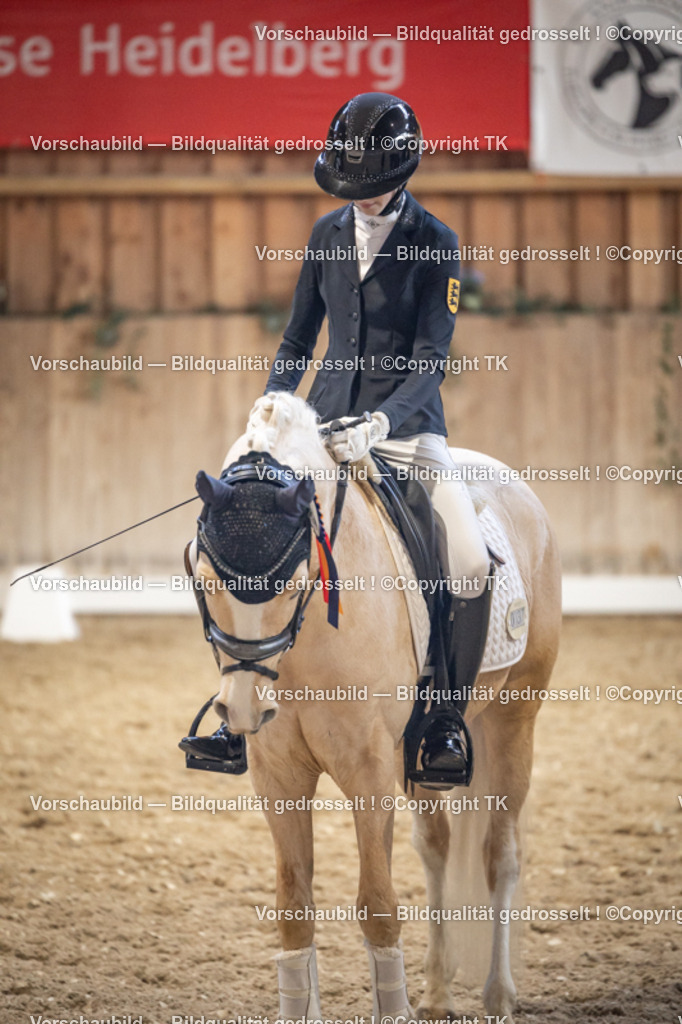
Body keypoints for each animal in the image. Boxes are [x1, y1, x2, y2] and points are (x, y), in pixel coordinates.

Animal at [189, 390, 562, 1022]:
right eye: (207, 577)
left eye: (293, 580)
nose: (242, 711)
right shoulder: (278, 774)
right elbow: (294, 909)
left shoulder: (368, 770)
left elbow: (379, 906)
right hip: (423, 755)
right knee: (437, 848)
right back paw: (437, 991)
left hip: (516, 716)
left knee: (500, 854)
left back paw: (497, 993)